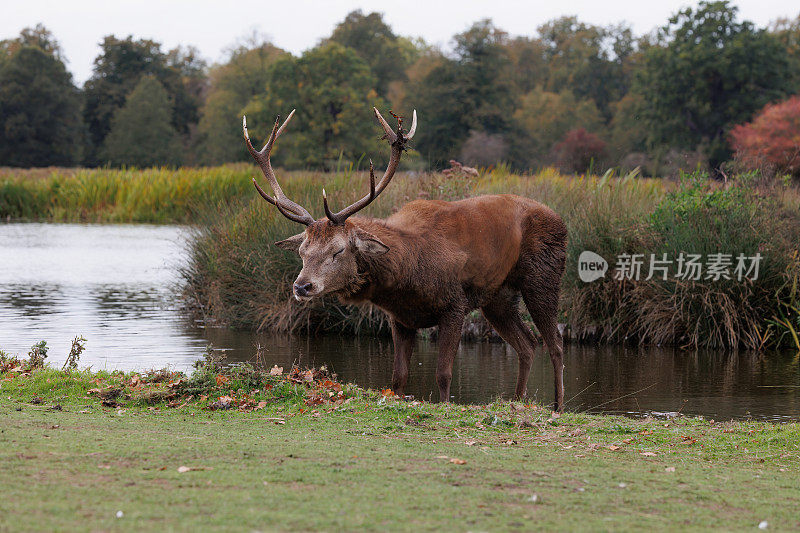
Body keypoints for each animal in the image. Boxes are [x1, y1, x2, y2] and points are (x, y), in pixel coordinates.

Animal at [242, 106, 568, 410]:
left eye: (338, 250)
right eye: (302, 251)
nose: (302, 286)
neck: (407, 277)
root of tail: (561, 220)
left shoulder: (455, 305)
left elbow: (443, 374)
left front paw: (444, 404)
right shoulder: (400, 318)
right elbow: (398, 377)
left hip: (544, 276)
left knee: (555, 343)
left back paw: (558, 406)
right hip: (498, 297)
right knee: (527, 344)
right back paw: (518, 401)